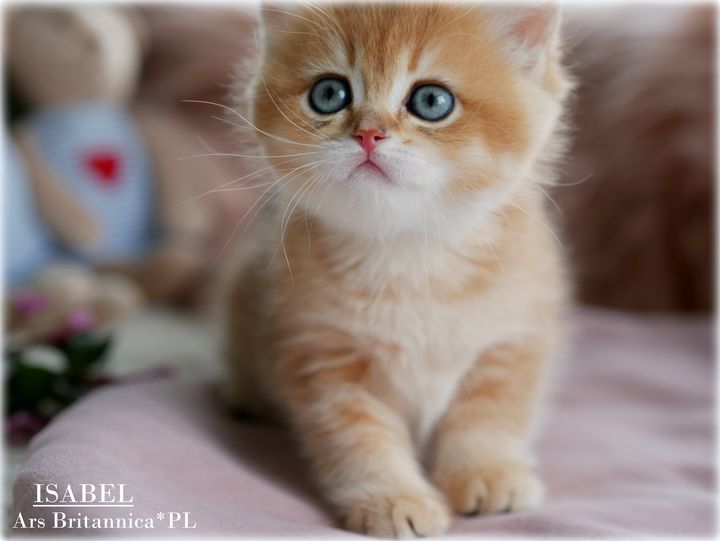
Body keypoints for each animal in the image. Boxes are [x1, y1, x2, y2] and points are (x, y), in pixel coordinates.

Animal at [224, 3, 573, 538]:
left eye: (431, 101)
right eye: (329, 94)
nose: (369, 134)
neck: (411, 256)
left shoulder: (513, 340)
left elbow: (489, 416)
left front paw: (487, 473)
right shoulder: (322, 358)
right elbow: (360, 440)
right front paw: (392, 498)